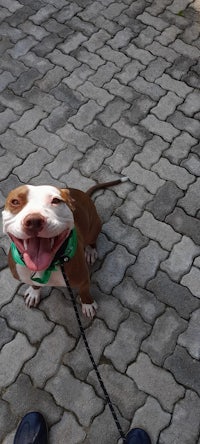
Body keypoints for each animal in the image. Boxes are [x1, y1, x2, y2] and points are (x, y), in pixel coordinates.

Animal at [2, 179, 127, 318]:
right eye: (15, 202)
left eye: (56, 200)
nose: (34, 221)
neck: (48, 267)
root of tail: (84, 194)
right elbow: (34, 284)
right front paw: (34, 293)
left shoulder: (83, 278)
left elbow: (84, 291)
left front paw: (87, 304)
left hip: (95, 226)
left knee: (92, 241)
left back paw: (90, 251)